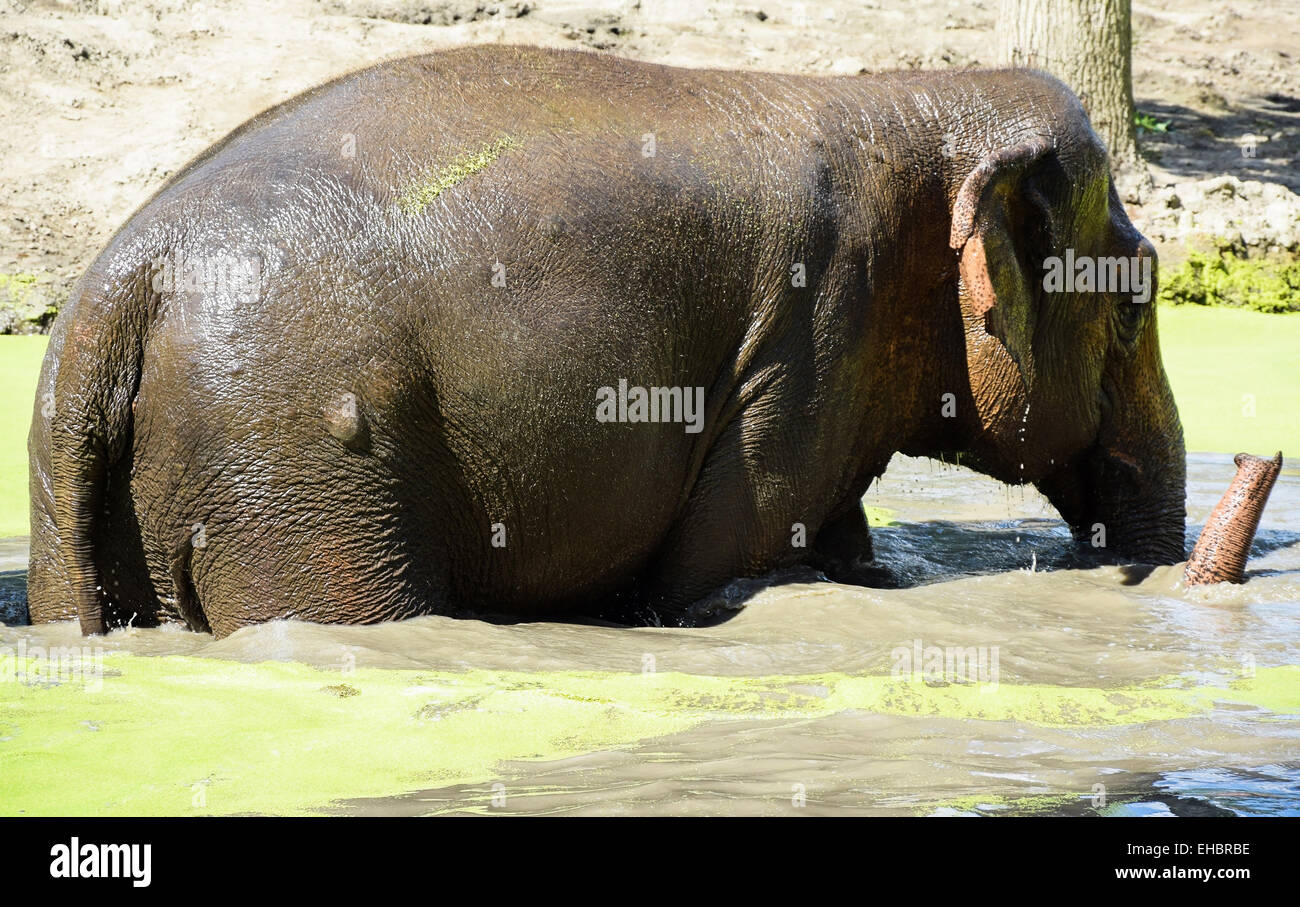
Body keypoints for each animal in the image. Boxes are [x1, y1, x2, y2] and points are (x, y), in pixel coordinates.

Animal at [27, 44, 1190, 636]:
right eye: (1137, 302)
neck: (910, 101)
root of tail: (117, 290)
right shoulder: (811, 342)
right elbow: (720, 571)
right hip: (294, 462)